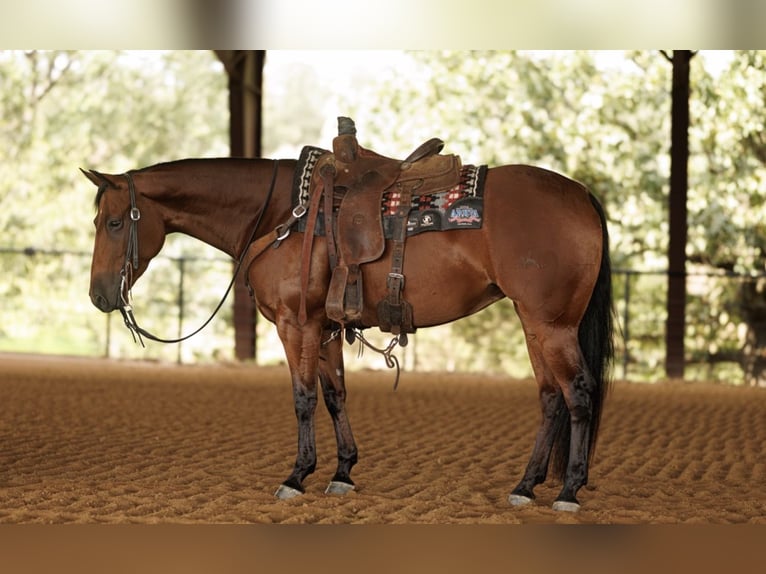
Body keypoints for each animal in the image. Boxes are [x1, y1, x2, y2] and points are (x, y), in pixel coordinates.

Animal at [84, 153, 614, 512]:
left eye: (113, 222)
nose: (99, 295)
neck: (279, 215)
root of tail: (580, 194)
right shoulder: (324, 329)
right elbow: (335, 394)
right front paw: (342, 471)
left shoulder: (296, 324)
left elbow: (303, 398)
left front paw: (297, 476)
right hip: (533, 324)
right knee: (550, 397)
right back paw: (525, 486)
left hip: (552, 325)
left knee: (579, 392)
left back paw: (569, 490)